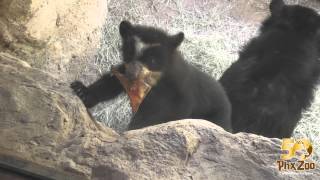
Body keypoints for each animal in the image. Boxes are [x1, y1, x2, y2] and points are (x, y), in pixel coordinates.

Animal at [71, 21, 231, 131]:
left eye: (152, 60)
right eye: (129, 53)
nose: (132, 73)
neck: (153, 80)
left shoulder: (179, 91)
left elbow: (171, 111)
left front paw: (137, 128)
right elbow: (112, 82)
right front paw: (81, 91)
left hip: (215, 115)